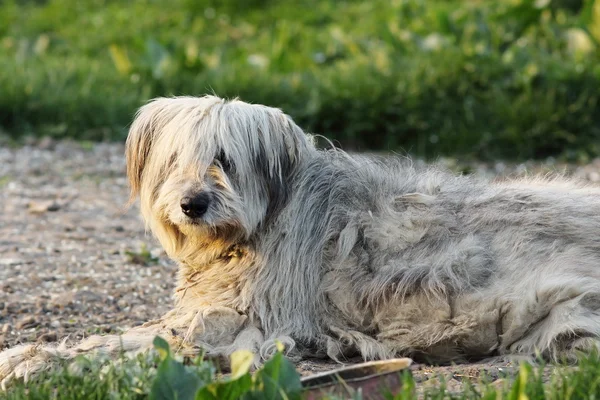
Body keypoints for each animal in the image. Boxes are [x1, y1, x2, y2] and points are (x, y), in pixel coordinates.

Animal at [1, 95, 600, 386]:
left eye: (224, 160)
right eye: (175, 160)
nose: (193, 204)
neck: (260, 223)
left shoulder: (245, 326)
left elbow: (132, 342)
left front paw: (42, 359)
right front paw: (31, 354)